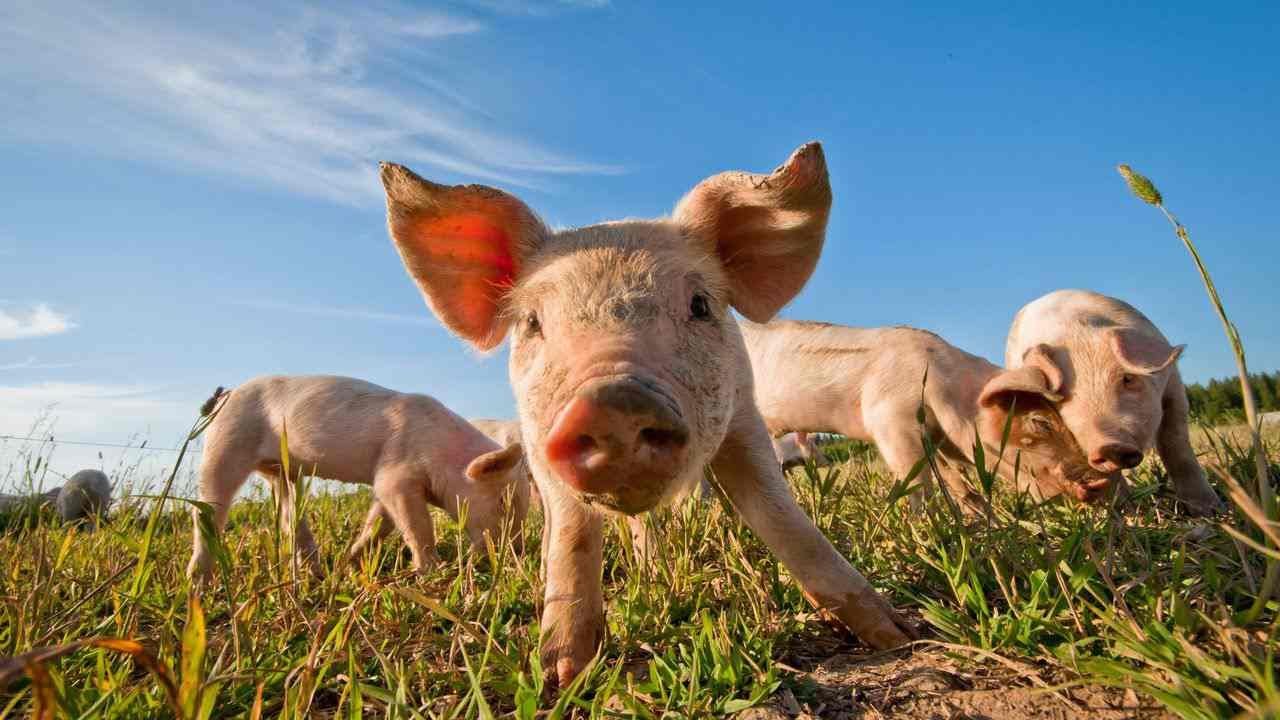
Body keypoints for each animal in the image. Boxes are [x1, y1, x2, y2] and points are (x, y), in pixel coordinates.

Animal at [186, 376, 530, 581]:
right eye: (502, 502)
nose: (517, 552)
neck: (444, 454)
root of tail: (227, 394)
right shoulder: (396, 473)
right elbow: (416, 524)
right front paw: (431, 570)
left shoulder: (386, 482)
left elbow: (380, 522)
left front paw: (349, 562)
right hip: (226, 441)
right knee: (209, 507)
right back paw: (198, 581)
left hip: (281, 471)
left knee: (289, 514)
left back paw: (315, 571)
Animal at [379, 142, 917, 686]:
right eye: (532, 322)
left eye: (700, 304)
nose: (612, 401)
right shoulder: (537, 441)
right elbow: (572, 534)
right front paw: (561, 675)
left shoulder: (743, 415)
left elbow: (780, 514)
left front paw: (897, 635)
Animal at [743, 320, 1117, 510]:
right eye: (1039, 422)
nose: (1101, 484)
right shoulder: (891, 421)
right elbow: (917, 483)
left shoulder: (936, 439)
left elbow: (959, 483)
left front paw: (980, 515)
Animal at [1006, 289, 1222, 514]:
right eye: (1061, 399)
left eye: (1128, 378)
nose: (1109, 446)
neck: (1074, 332)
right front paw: (1124, 510)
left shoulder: (1173, 384)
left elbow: (1176, 443)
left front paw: (1209, 510)